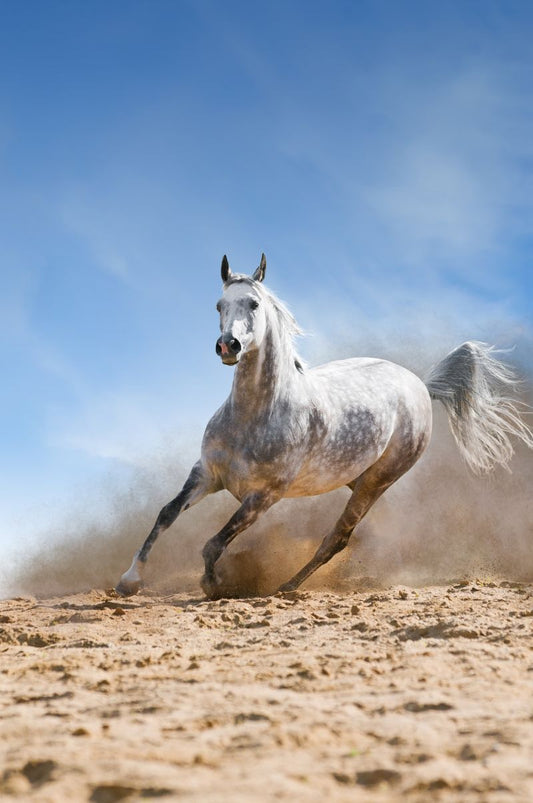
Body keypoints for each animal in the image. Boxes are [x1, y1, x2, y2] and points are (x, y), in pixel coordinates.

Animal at [116, 254, 532, 600]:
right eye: (219, 305)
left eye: (253, 304)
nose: (228, 346)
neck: (256, 415)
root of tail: (421, 385)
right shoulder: (206, 473)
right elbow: (166, 514)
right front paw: (128, 581)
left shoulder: (263, 497)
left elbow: (212, 544)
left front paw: (214, 585)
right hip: (353, 476)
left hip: (376, 481)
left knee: (339, 537)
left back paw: (287, 586)